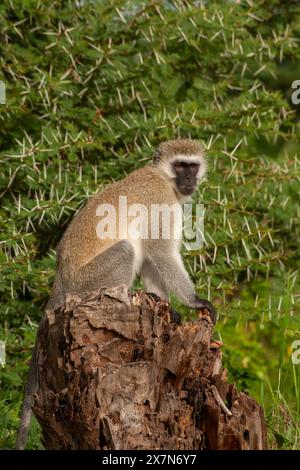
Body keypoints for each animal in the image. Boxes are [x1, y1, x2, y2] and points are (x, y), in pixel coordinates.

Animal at [16, 139, 217, 448]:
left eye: (192, 166)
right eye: (180, 166)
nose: (189, 180)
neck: (163, 178)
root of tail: (60, 279)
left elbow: (150, 258)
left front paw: (166, 306)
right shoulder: (161, 202)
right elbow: (159, 250)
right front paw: (195, 301)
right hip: (87, 282)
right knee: (126, 250)